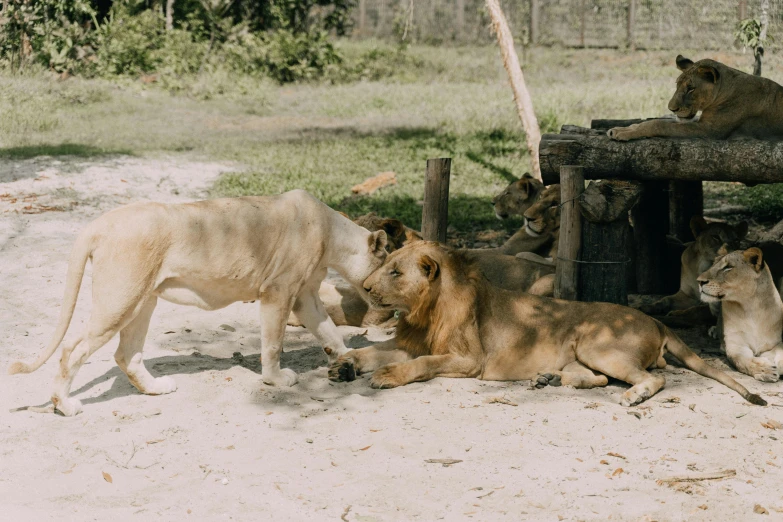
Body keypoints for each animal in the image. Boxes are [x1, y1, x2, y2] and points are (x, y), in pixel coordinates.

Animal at [10, 189, 390, 412]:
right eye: (389, 265)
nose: (385, 302)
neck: (332, 235)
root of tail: (97, 224)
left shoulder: (304, 295)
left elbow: (329, 332)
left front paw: (348, 358)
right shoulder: (278, 292)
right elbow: (273, 343)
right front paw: (276, 380)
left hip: (142, 301)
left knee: (126, 354)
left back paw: (156, 389)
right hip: (120, 300)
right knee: (72, 349)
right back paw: (65, 405)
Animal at [330, 240, 764, 406]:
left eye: (395, 272)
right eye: (386, 263)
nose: (365, 286)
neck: (426, 311)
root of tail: (658, 324)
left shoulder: (469, 360)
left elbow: (421, 365)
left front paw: (386, 376)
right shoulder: (413, 342)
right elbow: (375, 349)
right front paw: (344, 365)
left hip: (595, 342)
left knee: (654, 379)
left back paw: (633, 396)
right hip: (585, 354)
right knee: (598, 379)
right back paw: (548, 379)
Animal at [608, 54, 783, 140]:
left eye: (691, 89)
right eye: (677, 85)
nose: (671, 108)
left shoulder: (709, 131)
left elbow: (659, 125)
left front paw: (624, 133)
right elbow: (656, 121)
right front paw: (623, 128)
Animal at [700, 244, 783, 382]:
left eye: (728, 267)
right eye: (712, 265)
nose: (699, 281)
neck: (751, 307)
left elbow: (778, 351)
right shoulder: (736, 345)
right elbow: (743, 361)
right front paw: (765, 370)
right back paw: (714, 330)